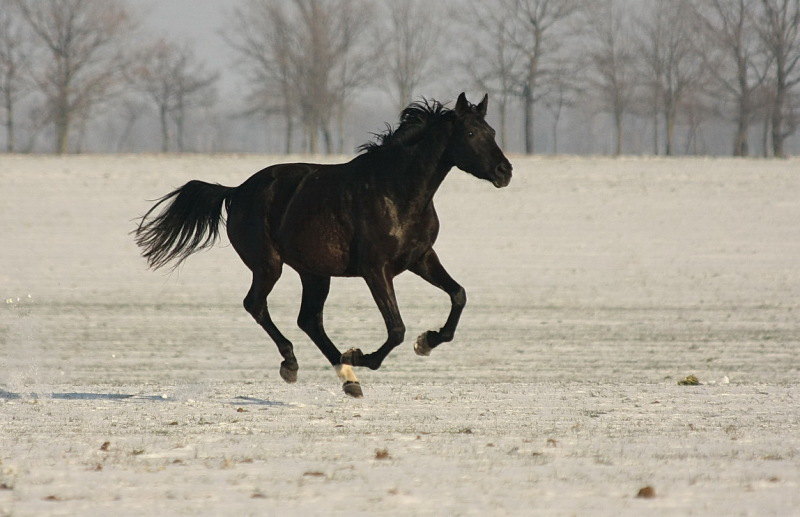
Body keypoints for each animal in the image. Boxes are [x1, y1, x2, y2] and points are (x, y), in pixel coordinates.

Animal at [136, 92, 512, 398]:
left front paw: (426, 342)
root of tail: (237, 190)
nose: (504, 171)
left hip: (315, 273)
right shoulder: (376, 270)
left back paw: (347, 377)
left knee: (309, 320)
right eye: (471, 133)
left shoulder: (420, 258)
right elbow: (396, 329)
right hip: (269, 266)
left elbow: (458, 295)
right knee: (257, 305)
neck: (396, 190)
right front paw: (362, 355)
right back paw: (295, 364)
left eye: (492, 132)